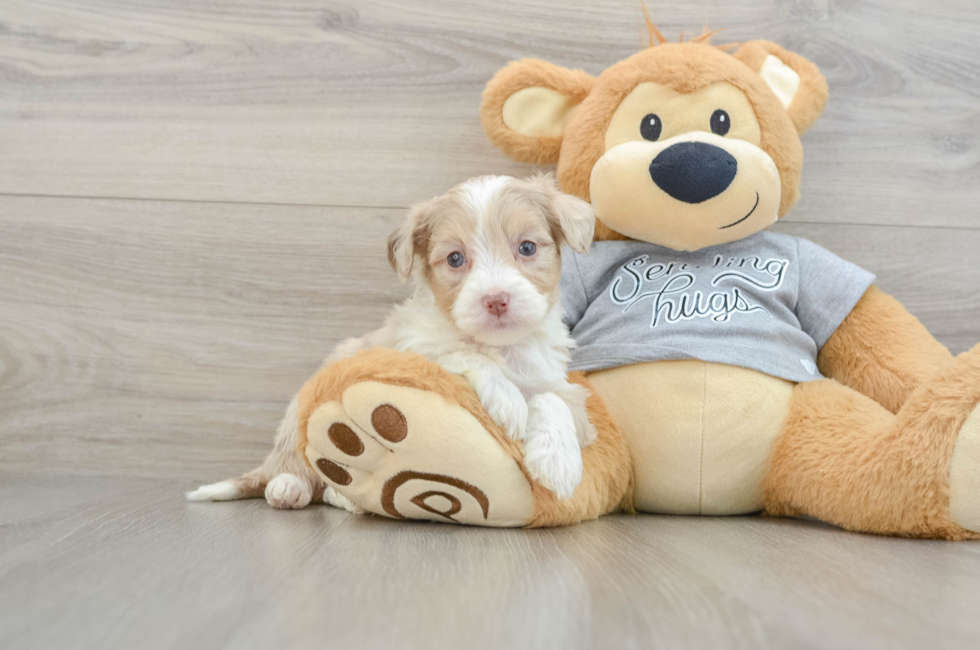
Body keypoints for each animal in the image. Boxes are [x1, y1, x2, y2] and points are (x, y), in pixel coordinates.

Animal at [187, 172, 592, 506]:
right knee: (293, 462)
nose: (496, 300)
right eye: (455, 259)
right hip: (299, 413)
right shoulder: (409, 348)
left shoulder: (557, 382)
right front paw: (507, 399)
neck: (502, 346)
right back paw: (289, 486)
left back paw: (340, 497)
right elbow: (462, 354)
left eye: (527, 248)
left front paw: (558, 462)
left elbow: (553, 400)